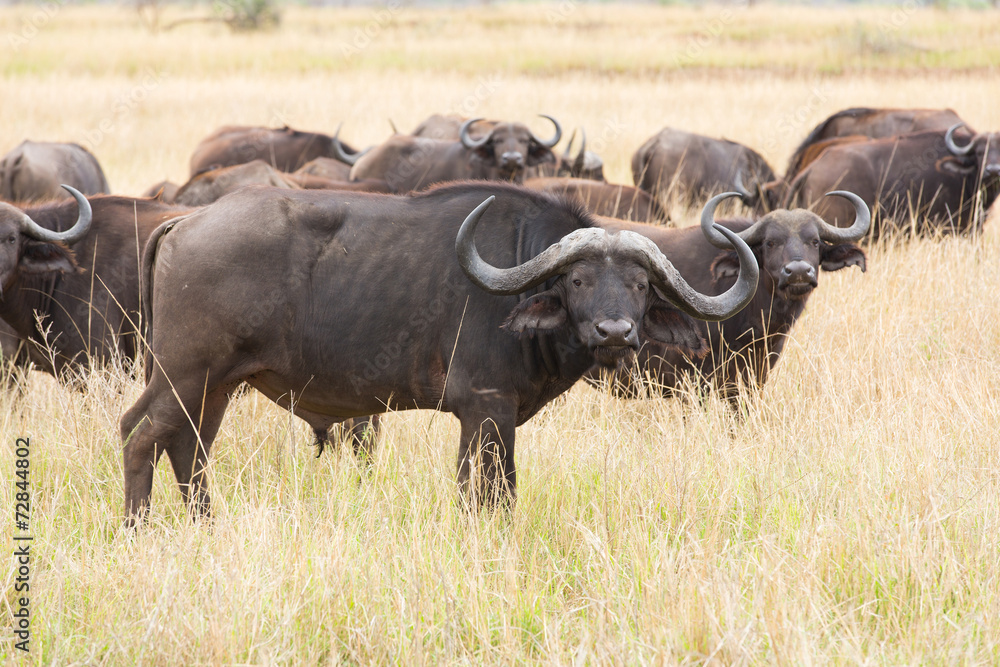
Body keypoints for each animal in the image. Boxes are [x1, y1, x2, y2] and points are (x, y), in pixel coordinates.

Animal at [119, 182, 758, 522]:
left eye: (641, 285)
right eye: (577, 280)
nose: (615, 332)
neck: (521, 277)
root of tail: (187, 220)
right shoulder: (487, 409)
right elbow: (491, 492)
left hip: (217, 385)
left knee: (189, 446)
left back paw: (206, 524)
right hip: (186, 374)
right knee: (140, 435)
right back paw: (137, 528)